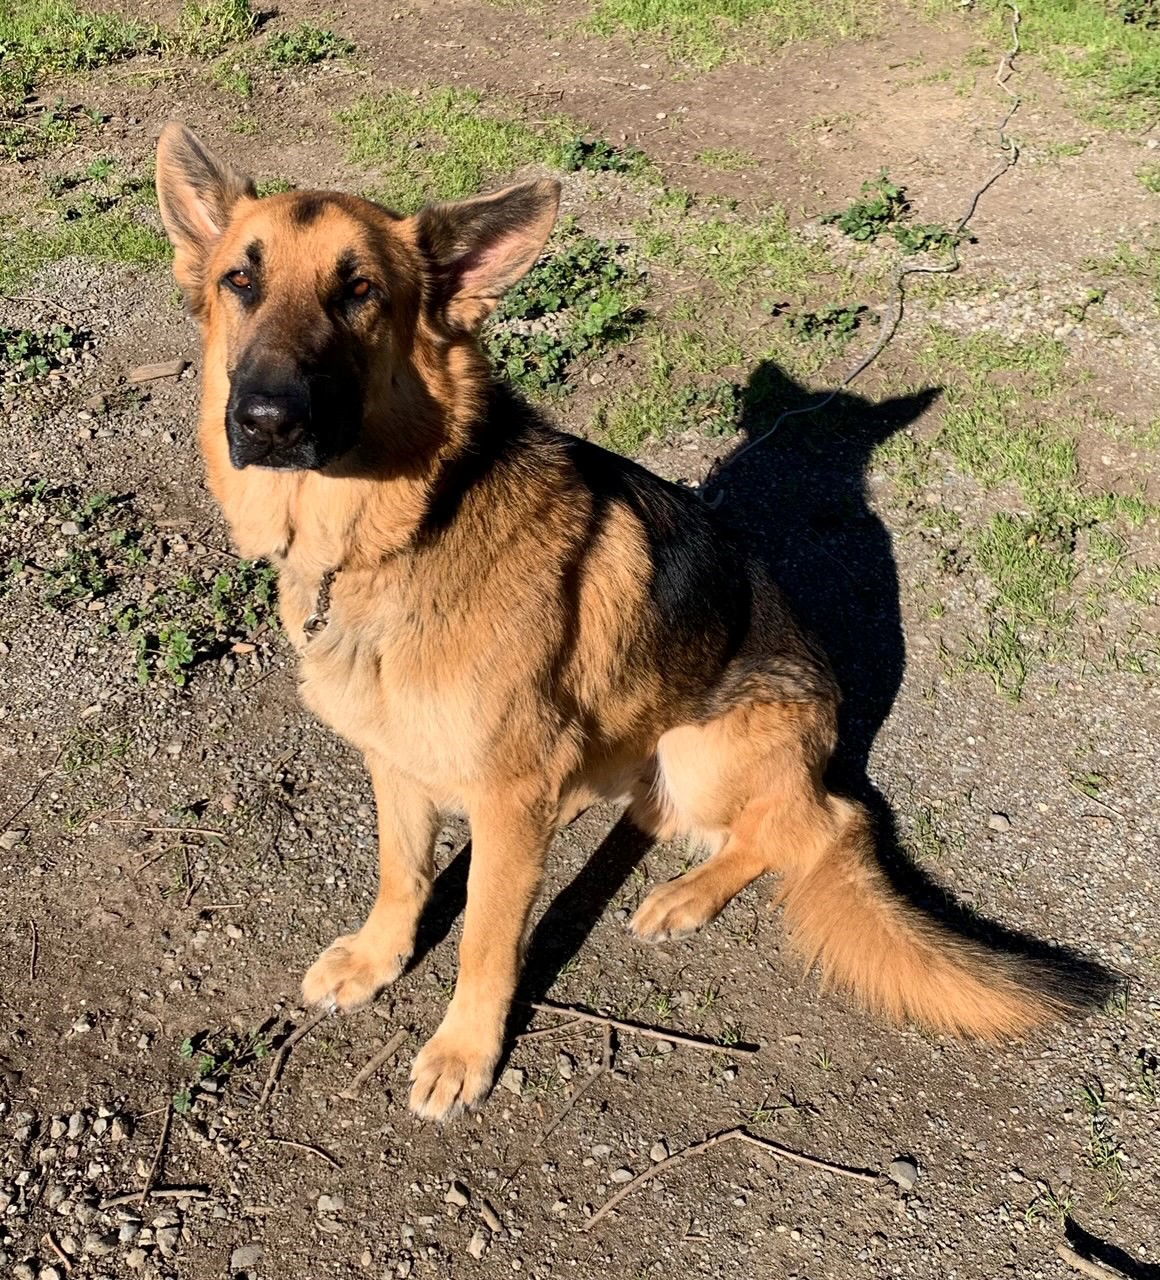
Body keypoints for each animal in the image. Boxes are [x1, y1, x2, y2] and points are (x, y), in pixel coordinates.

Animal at [158, 122, 1090, 1121]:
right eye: (240, 280)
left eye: (360, 291)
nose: (265, 419)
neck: (406, 526)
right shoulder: (397, 762)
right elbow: (400, 874)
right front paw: (377, 960)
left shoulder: (503, 796)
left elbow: (486, 937)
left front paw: (465, 1050)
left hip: (705, 750)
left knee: (819, 826)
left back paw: (688, 893)